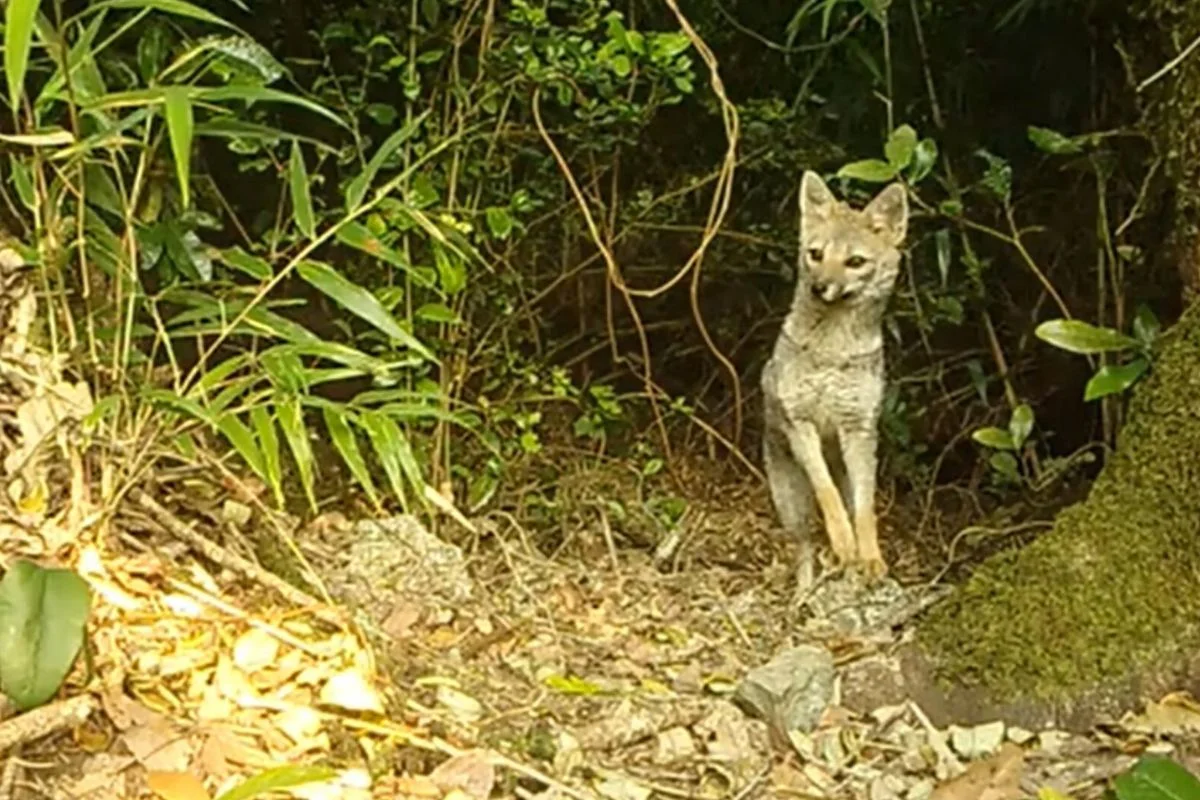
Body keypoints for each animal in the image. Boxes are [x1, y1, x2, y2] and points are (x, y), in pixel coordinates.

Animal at [760, 170, 908, 594]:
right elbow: (827, 495)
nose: (819, 286)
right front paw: (843, 544)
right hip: (790, 502)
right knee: (805, 546)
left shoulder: (858, 429)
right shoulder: (801, 424)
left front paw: (870, 557)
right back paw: (805, 593)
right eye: (815, 254)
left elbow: (864, 509)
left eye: (855, 262)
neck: (831, 351)